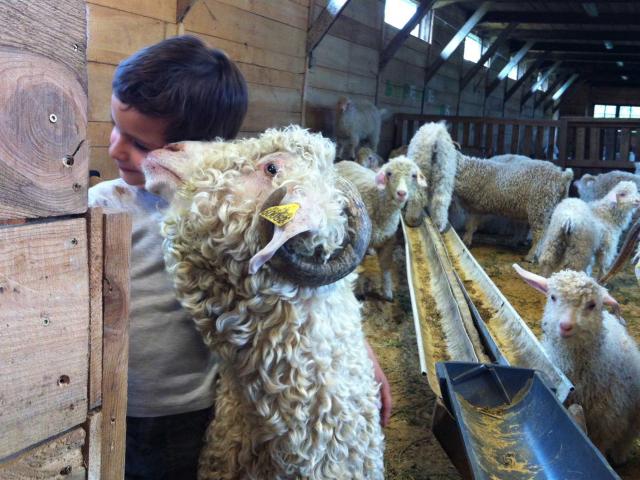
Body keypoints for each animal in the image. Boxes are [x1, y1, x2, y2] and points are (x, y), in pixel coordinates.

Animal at [336, 157, 424, 300]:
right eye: (389, 173)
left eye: (414, 175)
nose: (401, 193)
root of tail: (344, 161)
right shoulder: (361, 243)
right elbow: (361, 268)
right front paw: (358, 290)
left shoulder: (389, 240)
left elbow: (386, 267)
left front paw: (387, 292)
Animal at [512, 262, 640, 464]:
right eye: (553, 297)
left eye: (592, 304)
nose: (565, 326)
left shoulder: (607, 422)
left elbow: (600, 446)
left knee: (627, 437)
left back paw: (620, 457)